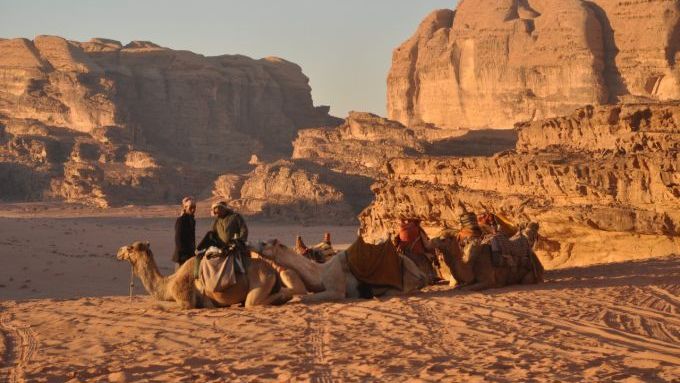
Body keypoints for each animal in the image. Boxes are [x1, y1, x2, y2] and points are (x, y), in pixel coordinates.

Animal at [117, 243, 292, 308]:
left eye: (131, 248)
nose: (119, 252)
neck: (169, 283)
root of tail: (273, 271)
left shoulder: (186, 300)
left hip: (261, 281)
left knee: (253, 302)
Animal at [252, 236, 428, 304]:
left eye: (264, 243)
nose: (249, 244)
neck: (320, 273)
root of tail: (421, 274)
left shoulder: (336, 290)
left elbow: (304, 297)